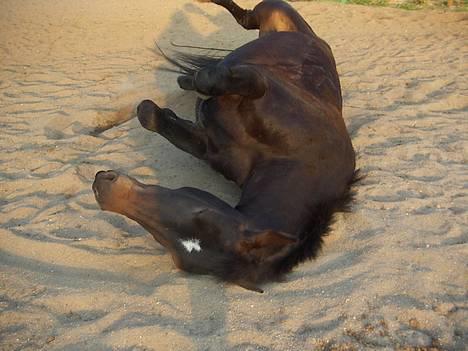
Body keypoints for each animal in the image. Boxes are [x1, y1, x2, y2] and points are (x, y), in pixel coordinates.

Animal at [94, 0, 358, 294]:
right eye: (202, 211)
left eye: (170, 246)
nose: (103, 190)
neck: (296, 158)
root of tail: (318, 41)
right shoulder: (253, 93)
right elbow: (244, 82)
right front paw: (201, 82)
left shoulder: (207, 145)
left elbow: (154, 117)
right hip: (272, 10)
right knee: (245, 19)